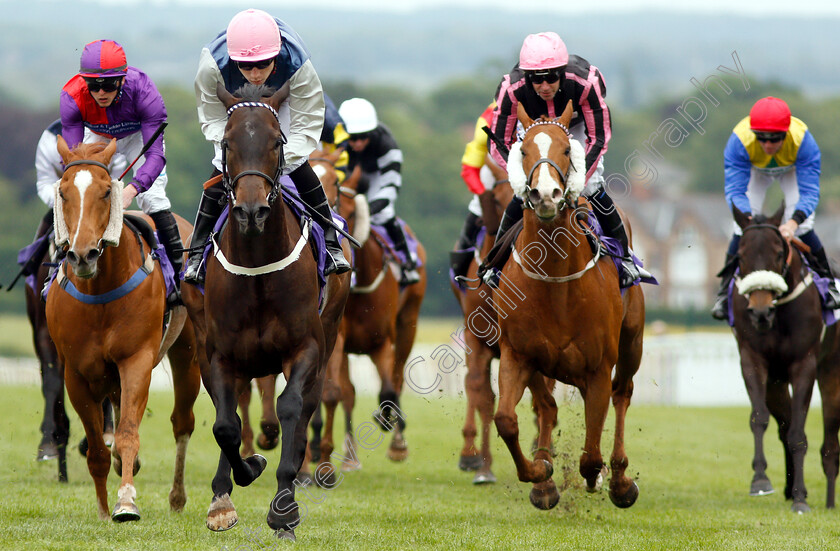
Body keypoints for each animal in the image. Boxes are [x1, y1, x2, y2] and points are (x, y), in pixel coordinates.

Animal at [46, 138, 202, 520]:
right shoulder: (76, 372)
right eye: (64, 192)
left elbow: (129, 432)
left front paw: (126, 501)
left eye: (106, 191)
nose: (82, 255)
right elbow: (98, 449)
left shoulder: (136, 360)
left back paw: (177, 497)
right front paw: (104, 509)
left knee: (182, 422)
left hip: (188, 353)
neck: (99, 291)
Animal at [184, 84, 352, 540]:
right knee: (229, 411)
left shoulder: (306, 347)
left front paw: (284, 509)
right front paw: (234, 485)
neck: (258, 268)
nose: (251, 210)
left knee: (308, 404)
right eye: (227, 143)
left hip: (329, 336)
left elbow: (291, 406)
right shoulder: (218, 354)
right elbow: (224, 424)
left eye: (277, 142)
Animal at [492, 101, 644, 512]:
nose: (546, 194)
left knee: (622, 394)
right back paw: (545, 478)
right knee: (547, 406)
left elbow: (590, 454)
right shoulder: (517, 354)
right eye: (523, 150)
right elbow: (506, 420)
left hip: (632, 343)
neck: (555, 281)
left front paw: (600, 476)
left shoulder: (598, 367)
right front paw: (539, 472)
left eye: (565, 149)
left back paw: (619, 478)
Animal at [728, 206, 840, 512]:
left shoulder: (805, 364)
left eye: (779, 253)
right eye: (740, 255)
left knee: (830, 444)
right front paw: (761, 480)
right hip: (776, 383)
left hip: (831, 374)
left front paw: (801, 499)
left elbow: (799, 435)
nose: (760, 312)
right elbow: (760, 419)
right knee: (785, 423)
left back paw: (827, 500)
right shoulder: (753, 360)